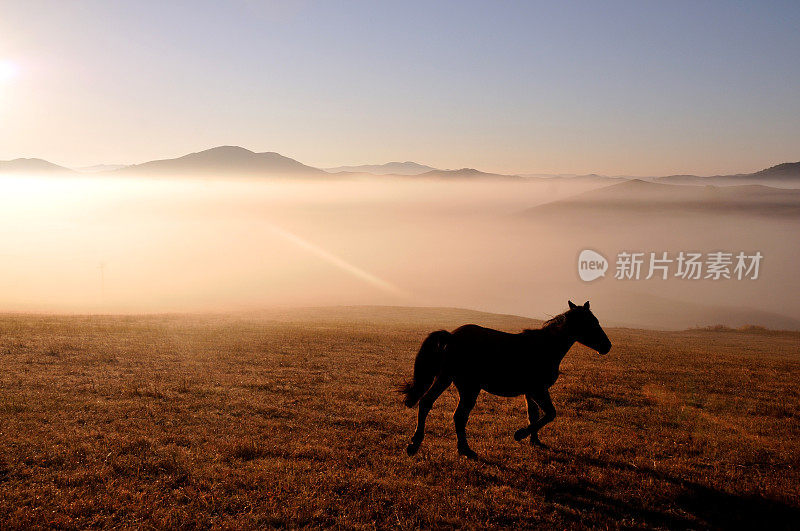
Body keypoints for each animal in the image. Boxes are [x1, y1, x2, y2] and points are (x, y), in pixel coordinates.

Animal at [400, 302, 612, 460]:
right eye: (591, 323)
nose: (607, 346)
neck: (545, 347)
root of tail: (451, 336)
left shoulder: (530, 392)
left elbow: (533, 414)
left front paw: (535, 441)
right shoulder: (539, 390)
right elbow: (550, 414)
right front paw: (520, 434)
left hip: (449, 380)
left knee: (430, 404)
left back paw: (422, 444)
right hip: (465, 387)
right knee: (455, 414)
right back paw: (459, 449)